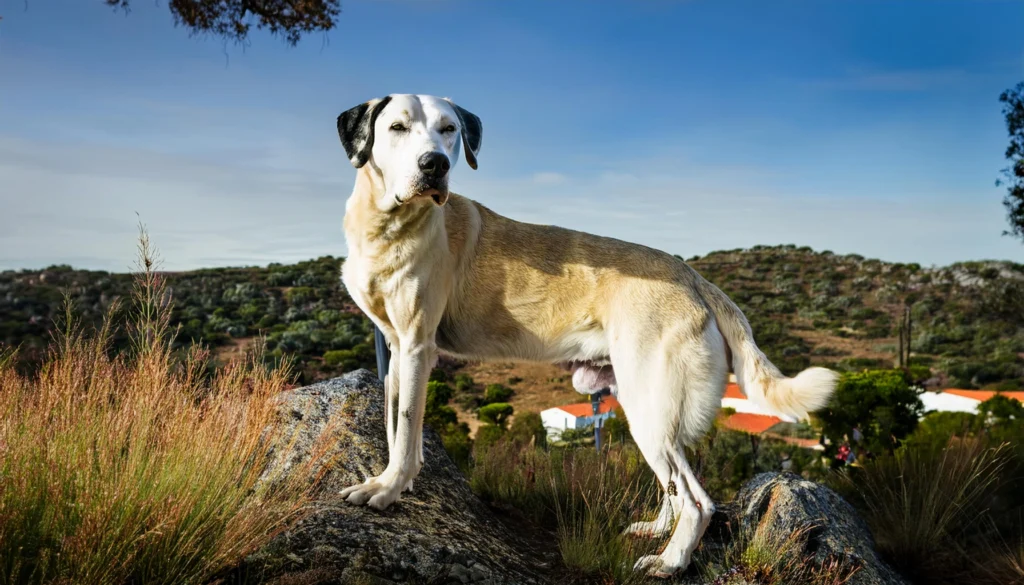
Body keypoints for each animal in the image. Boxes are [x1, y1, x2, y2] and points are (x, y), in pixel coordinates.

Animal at [335, 92, 839, 577]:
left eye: (448, 130)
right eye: (397, 127)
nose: (434, 165)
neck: (387, 227)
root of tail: (697, 279)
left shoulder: (418, 347)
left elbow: (404, 428)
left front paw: (387, 490)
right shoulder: (397, 349)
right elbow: (397, 426)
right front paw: (395, 480)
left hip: (648, 410)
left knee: (697, 501)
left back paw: (669, 563)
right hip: (645, 410)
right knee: (674, 487)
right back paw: (657, 532)